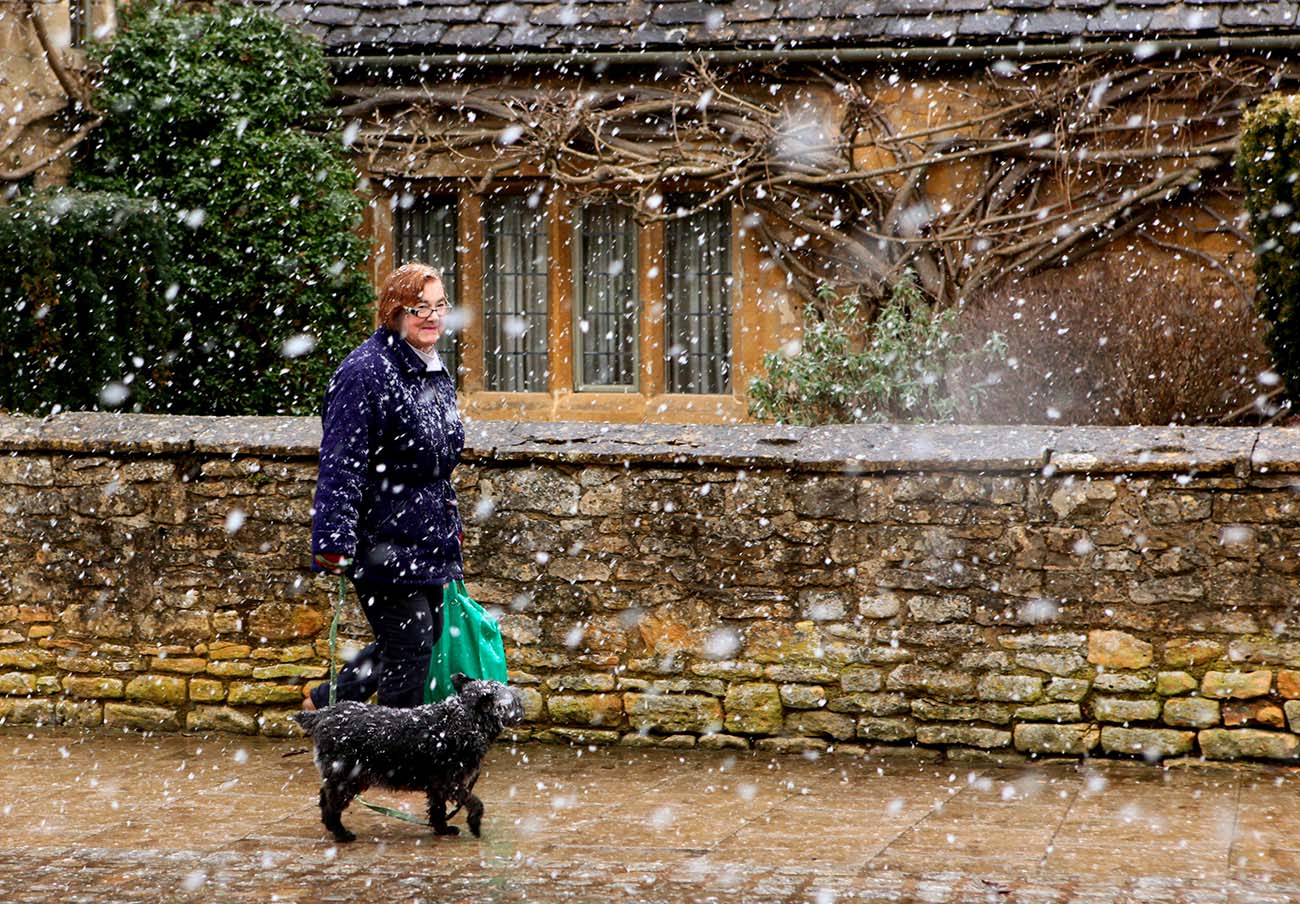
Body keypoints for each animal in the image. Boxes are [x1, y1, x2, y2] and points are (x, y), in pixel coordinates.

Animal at [291, 671, 522, 842]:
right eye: (510, 699)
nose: (521, 702)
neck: (464, 717)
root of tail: (321, 715)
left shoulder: (437, 785)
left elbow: (438, 809)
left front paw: (442, 829)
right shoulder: (449, 781)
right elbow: (474, 802)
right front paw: (474, 824)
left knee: (324, 798)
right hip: (347, 777)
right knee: (332, 805)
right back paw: (341, 833)